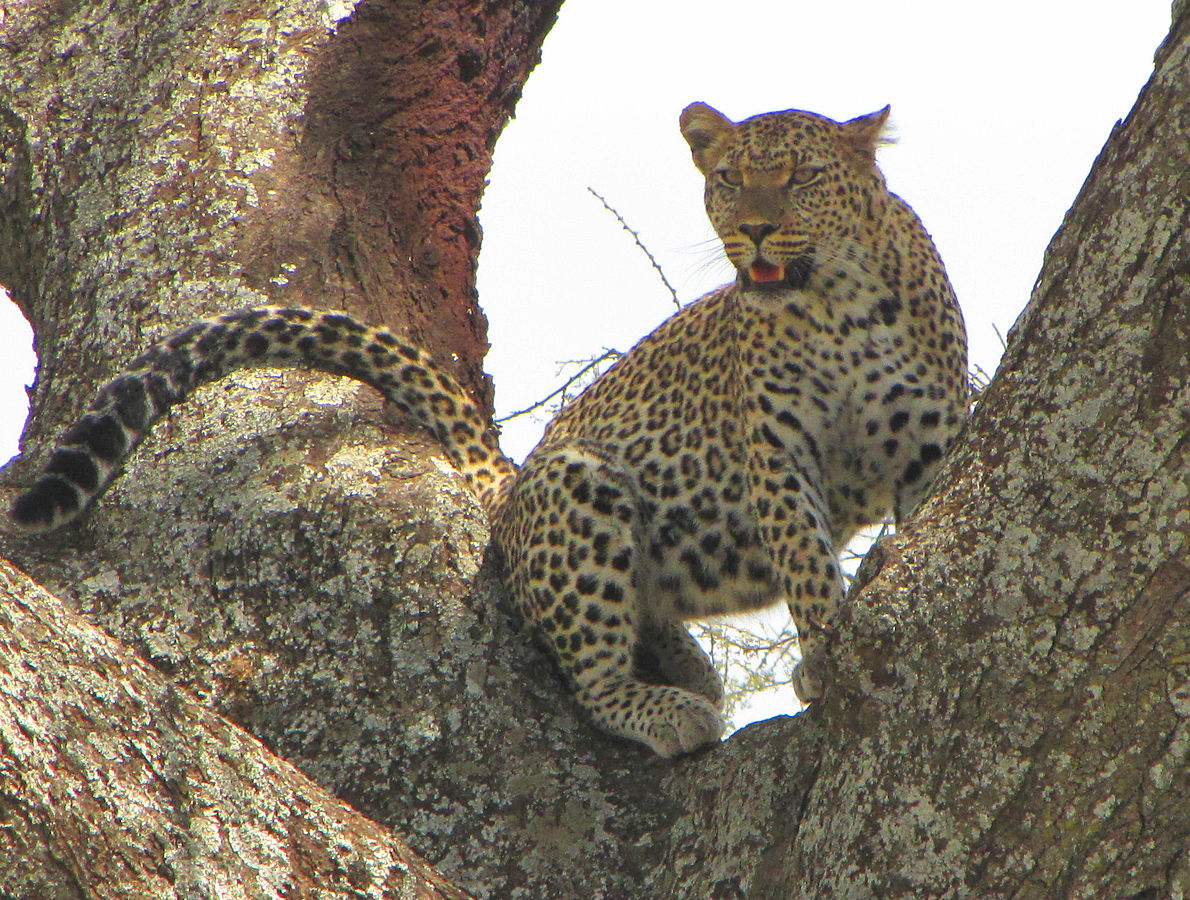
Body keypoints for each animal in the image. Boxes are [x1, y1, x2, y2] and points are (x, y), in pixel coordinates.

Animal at [6, 100, 966, 757]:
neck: (836, 307)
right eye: (728, 179)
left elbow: (922, 516)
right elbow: (802, 557)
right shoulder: (776, 451)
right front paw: (824, 649)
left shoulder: (931, 441)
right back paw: (668, 703)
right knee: (591, 673)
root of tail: (514, 481)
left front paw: (850, 619)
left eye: (802, 175)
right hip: (582, 485)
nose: (756, 228)